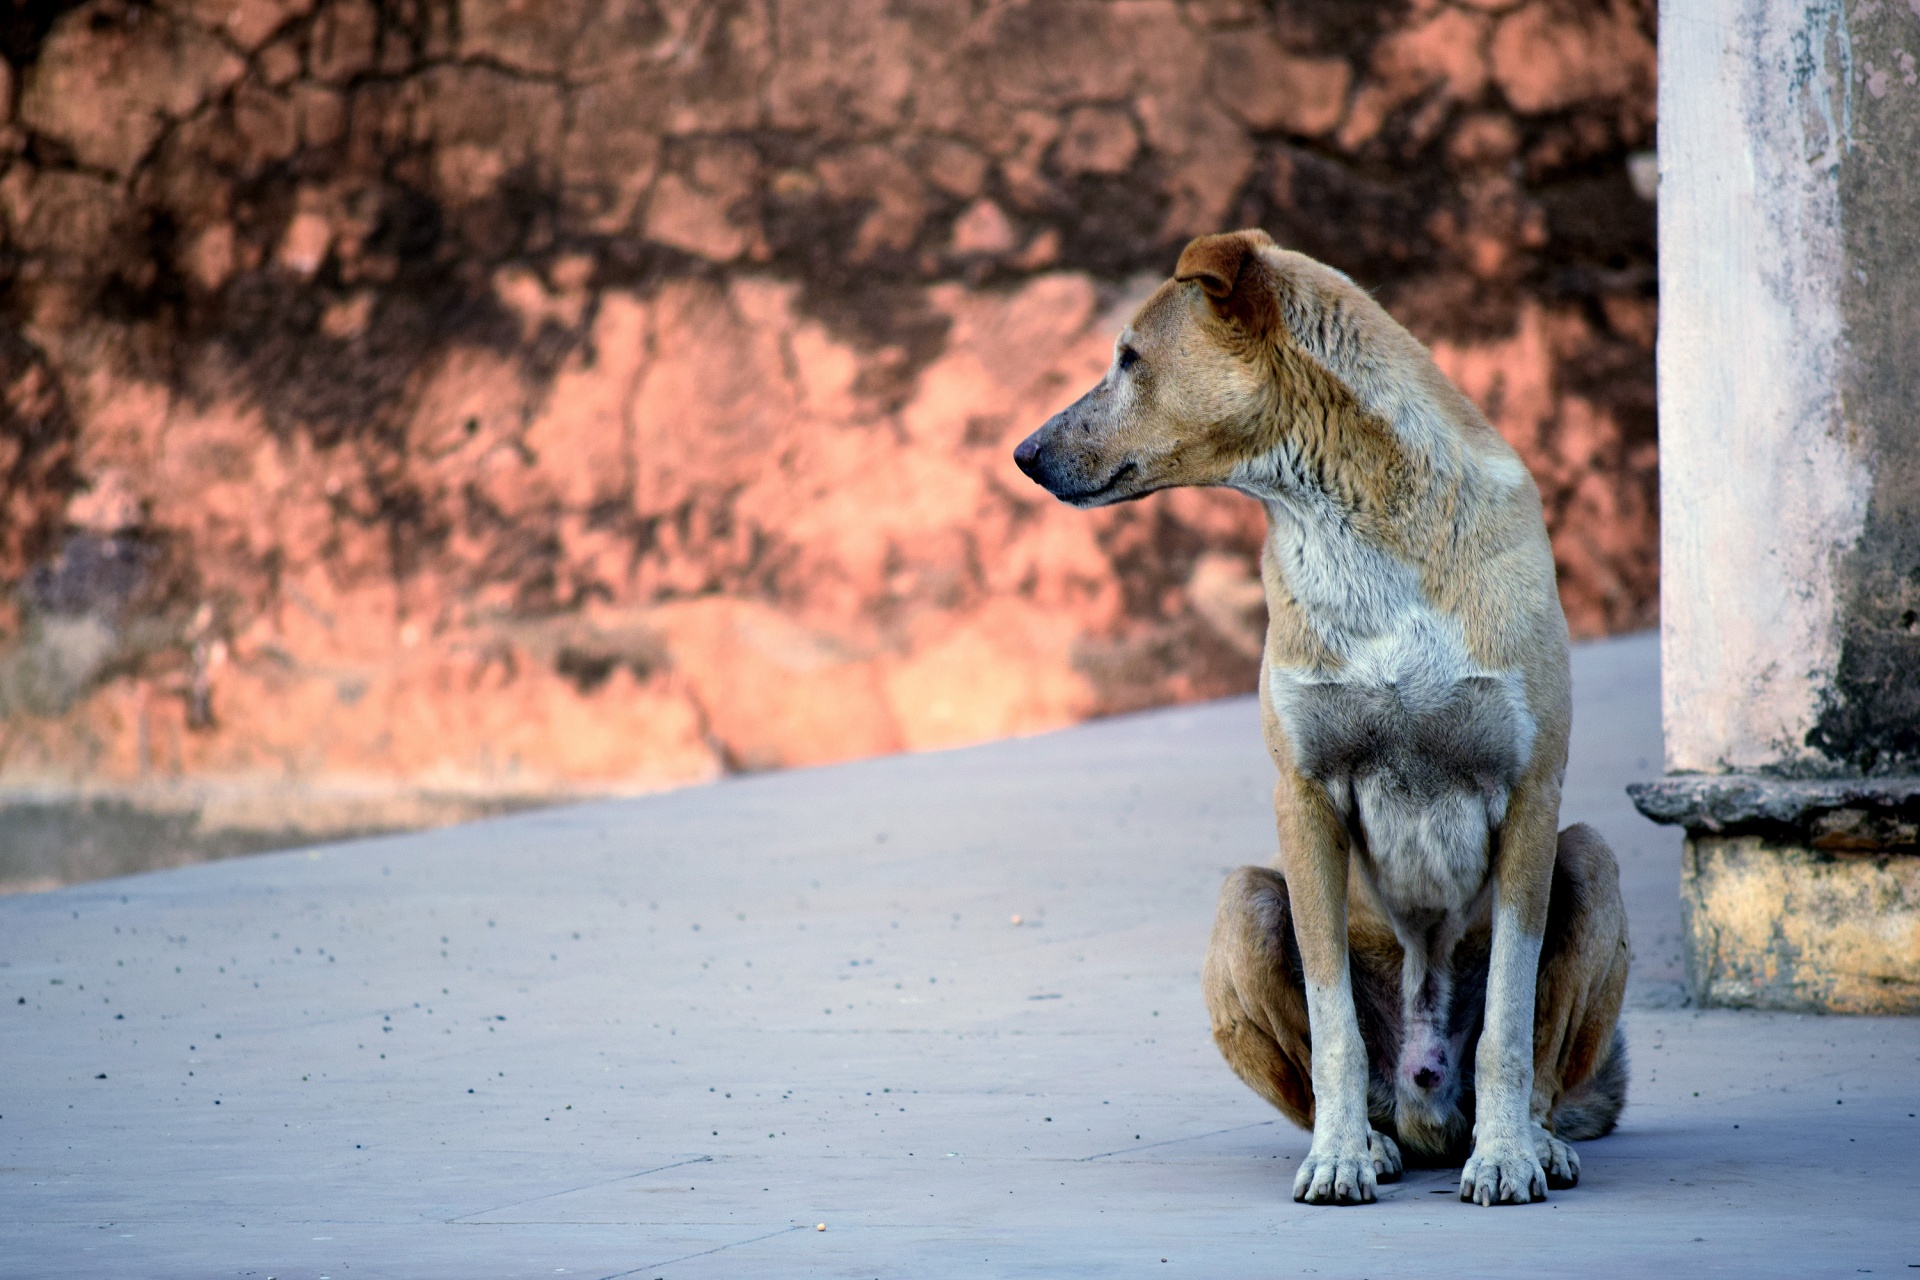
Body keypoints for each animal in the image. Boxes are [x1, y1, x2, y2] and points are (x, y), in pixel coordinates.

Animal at [1013, 233, 1628, 1212]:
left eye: (1130, 359)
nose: (1023, 454)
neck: (1357, 528)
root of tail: (1426, 1110)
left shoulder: (1532, 794)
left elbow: (1508, 1020)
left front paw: (1504, 1157)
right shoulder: (1303, 800)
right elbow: (1333, 1015)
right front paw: (1339, 1156)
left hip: (1591, 861)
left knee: (1542, 1061)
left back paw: (1531, 1140)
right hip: (1242, 902)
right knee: (1331, 1069)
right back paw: (1371, 1140)